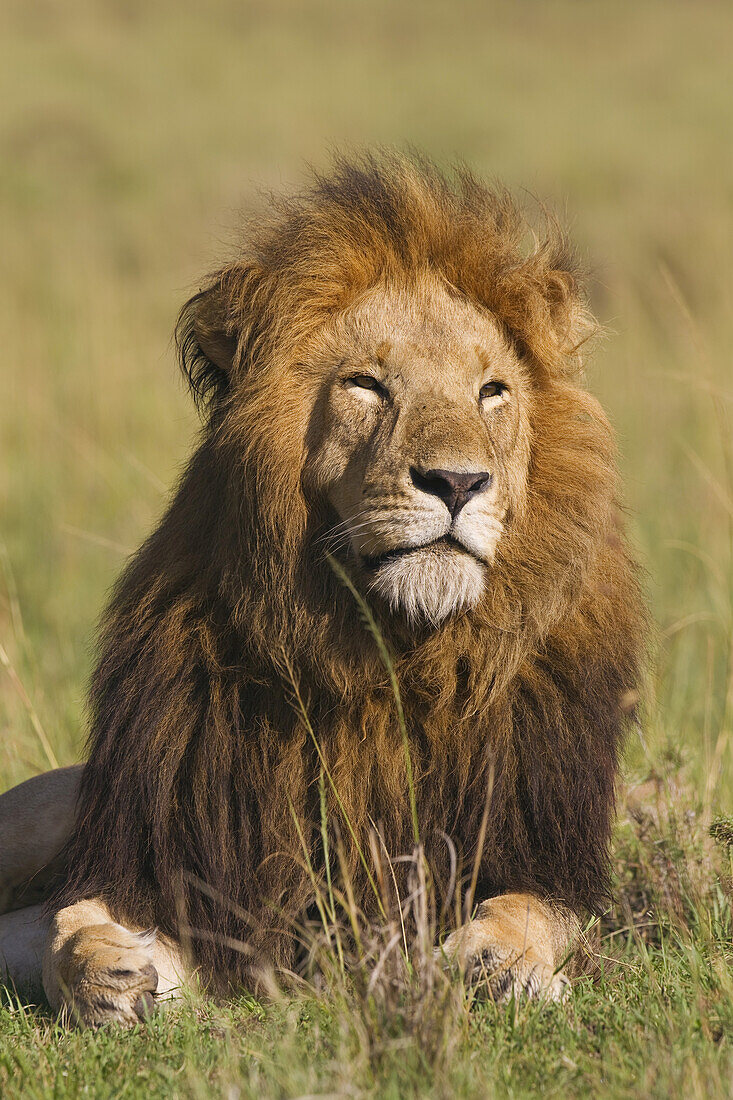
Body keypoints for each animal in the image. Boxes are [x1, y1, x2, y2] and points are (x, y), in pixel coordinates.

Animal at [0, 150, 638, 1025]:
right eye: (366, 384)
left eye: (492, 391)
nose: (457, 481)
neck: (390, 656)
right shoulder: (182, 871)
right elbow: (73, 921)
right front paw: (105, 972)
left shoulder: (539, 851)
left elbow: (529, 911)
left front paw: (497, 963)